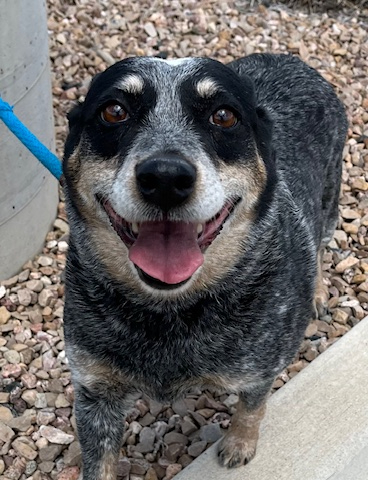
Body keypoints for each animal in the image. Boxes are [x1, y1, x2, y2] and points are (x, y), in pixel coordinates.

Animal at [63, 54, 348, 478]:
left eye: (224, 116)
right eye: (114, 111)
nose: (165, 177)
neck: (169, 312)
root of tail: (290, 58)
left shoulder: (262, 368)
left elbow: (252, 406)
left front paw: (239, 444)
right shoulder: (94, 390)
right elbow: (98, 461)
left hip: (330, 196)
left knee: (319, 244)